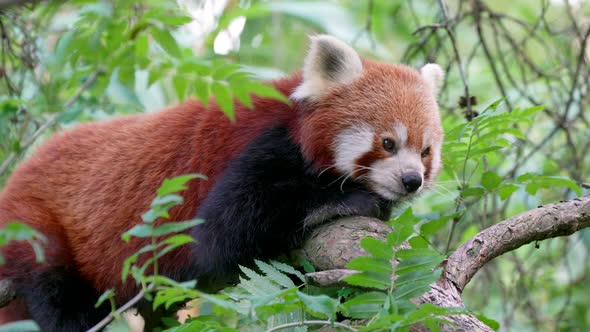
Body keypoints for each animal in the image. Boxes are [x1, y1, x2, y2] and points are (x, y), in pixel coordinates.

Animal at [0, 35, 444, 330]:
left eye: (425, 151)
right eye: (387, 143)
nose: (411, 181)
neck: (296, 123)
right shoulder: (260, 145)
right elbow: (223, 233)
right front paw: (349, 198)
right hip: (33, 223)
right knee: (57, 295)